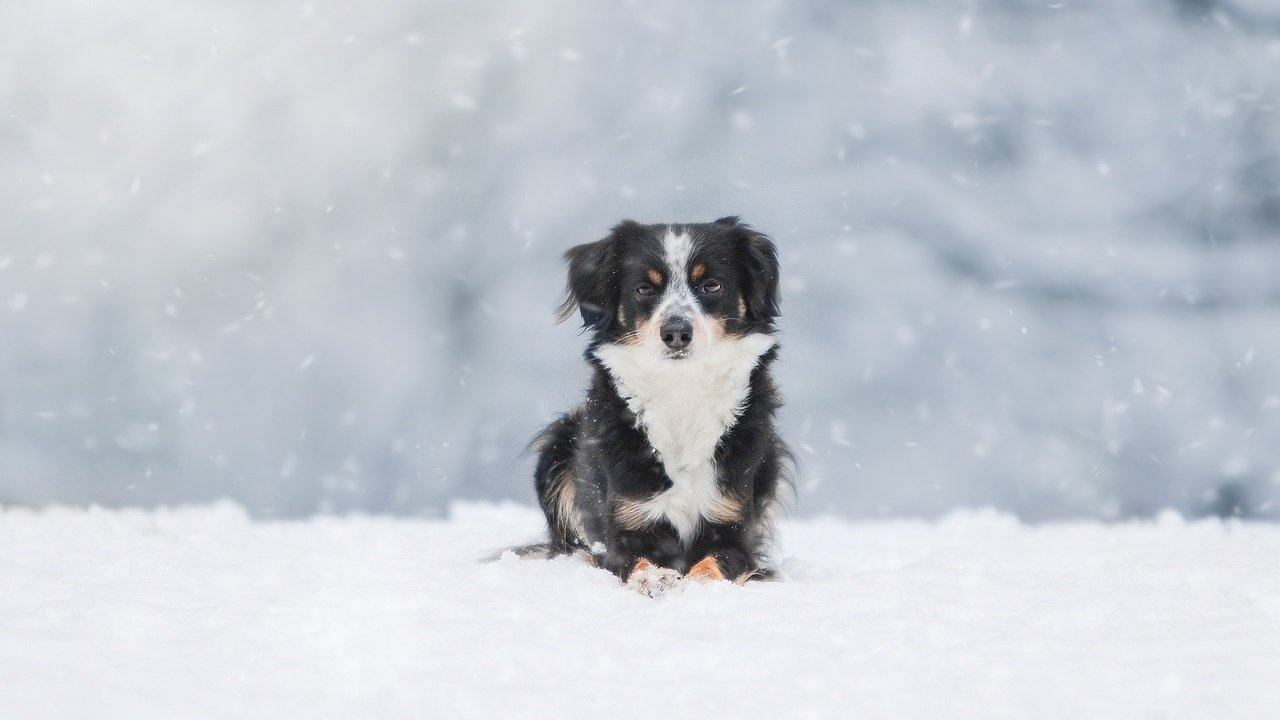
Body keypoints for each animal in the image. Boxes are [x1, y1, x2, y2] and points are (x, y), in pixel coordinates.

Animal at [522, 213, 783, 594]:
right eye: (644, 289)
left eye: (711, 286)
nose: (675, 332)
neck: (681, 388)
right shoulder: (627, 524)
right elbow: (637, 558)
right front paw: (655, 577)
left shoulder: (732, 522)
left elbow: (718, 562)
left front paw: (696, 582)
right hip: (558, 444)